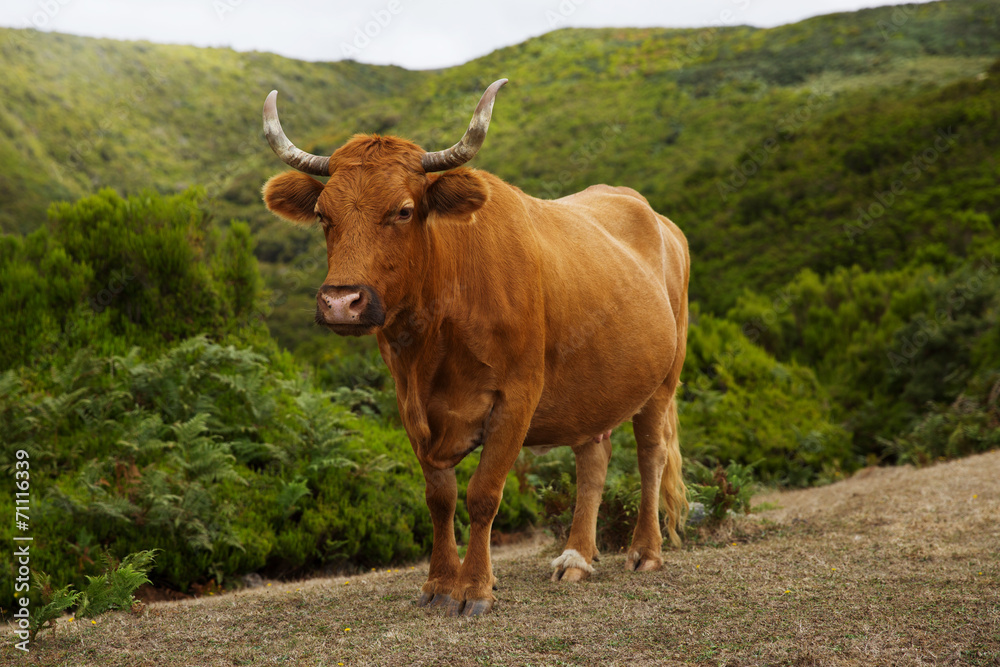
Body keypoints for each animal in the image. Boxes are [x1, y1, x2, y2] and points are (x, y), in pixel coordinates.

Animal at [262, 81, 692, 620]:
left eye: (404, 210)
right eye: (323, 215)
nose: (341, 302)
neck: (434, 342)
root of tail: (657, 218)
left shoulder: (517, 396)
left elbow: (483, 494)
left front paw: (475, 588)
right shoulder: (410, 405)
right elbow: (439, 498)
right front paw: (438, 583)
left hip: (663, 380)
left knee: (650, 454)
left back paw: (645, 551)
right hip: (593, 388)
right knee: (592, 460)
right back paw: (576, 557)